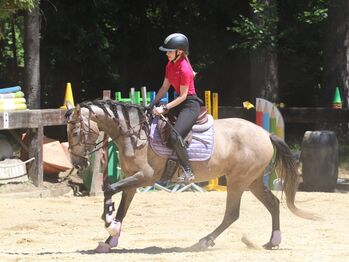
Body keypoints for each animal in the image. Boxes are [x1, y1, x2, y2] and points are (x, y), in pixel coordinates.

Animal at [64, 98, 312, 252]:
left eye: (75, 131)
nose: (77, 163)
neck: (133, 134)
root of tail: (265, 133)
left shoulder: (145, 177)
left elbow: (109, 189)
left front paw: (109, 223)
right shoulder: (133, 180)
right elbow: (122, 210)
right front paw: (109, 240)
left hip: (238, 181)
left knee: (232, 214)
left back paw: (204, 241)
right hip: (252, 181)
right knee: (273, 204)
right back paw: (273, 241)